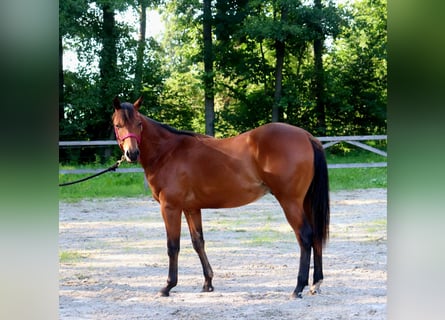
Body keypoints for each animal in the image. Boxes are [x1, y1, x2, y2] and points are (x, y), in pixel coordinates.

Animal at [112, 96, 328, 298]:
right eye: (118, 125)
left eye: (139, 124)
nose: (132, 153)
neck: (168, 152)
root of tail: (306, 136)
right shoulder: (191, 208)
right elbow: (198, 242)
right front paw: (208, 283)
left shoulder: (170, 207)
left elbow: (173, 246)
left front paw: (168, 286)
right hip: (305, 202)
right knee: (316, 235)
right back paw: (315, 283)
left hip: (290, 202)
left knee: (305, 236)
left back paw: (298, 287)